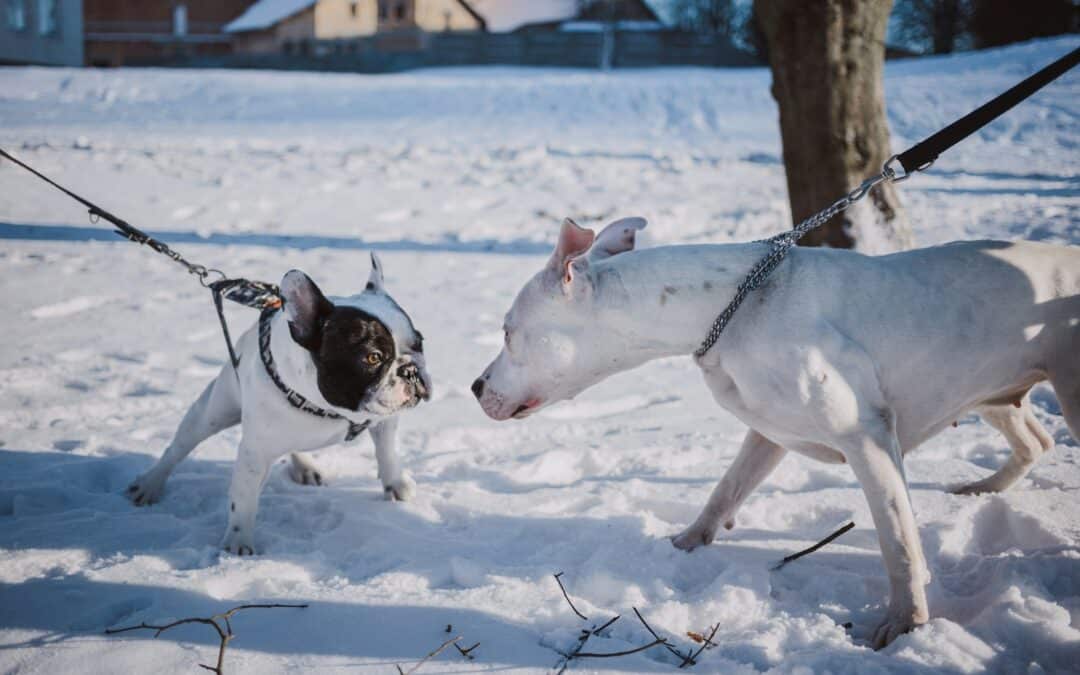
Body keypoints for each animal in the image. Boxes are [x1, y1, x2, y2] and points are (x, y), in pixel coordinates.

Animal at [127, 254, 429, 557]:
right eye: (373, 357)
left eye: (420, 342)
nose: (411, 371)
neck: (329, 409)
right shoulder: (255, 452)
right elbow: (244, 498)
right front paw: (238, 543)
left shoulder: (385, 419)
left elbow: (387, 452)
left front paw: (396, 484)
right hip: (213, 411)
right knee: (179, 447)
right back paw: (149, 485)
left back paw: (305, 467)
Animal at [475, 217, 1080, 648]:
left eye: (507, 332)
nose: (476, 387)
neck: (725, 309)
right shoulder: (765, 433)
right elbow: (725, 490)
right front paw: (684, 545)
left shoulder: (867, 438)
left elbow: (898, 541)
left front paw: (904, 625)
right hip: (993, 390)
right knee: (1036, 440)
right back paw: (981, 490)